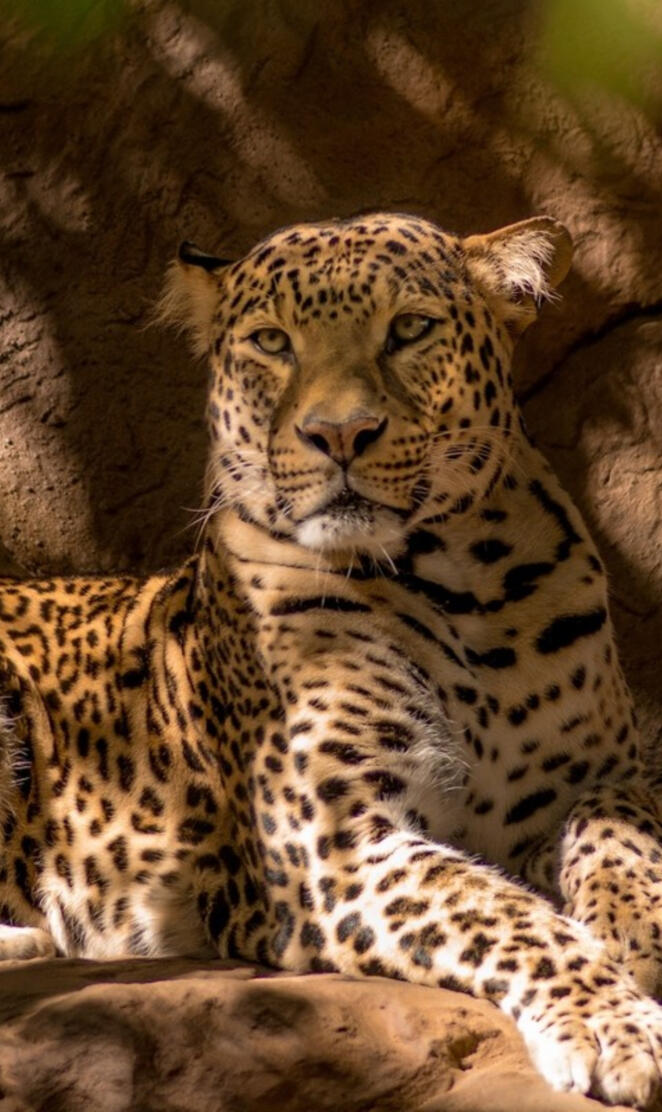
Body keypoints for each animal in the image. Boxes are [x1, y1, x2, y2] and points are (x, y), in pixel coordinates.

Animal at [2, 210, 662, 1107]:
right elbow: (499, 912)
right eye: (273, 342)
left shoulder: (600, 775)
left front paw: (639, 938)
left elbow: (620, 833)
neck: (462, 585)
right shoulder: (336, 845)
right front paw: (609, 1021)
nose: (338, 434)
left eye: (409, 329)